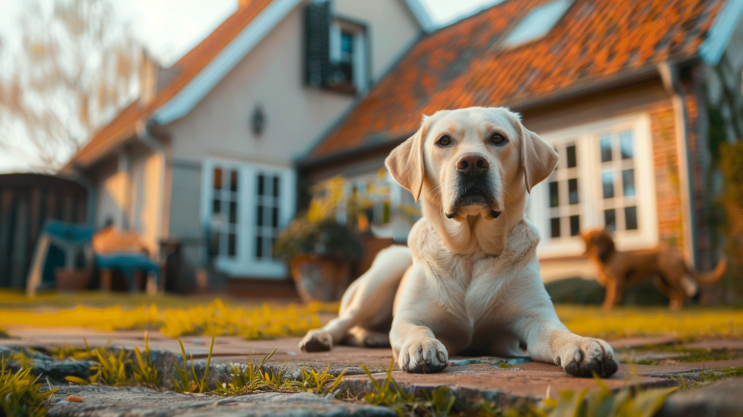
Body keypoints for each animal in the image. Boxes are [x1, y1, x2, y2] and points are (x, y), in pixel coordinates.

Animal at [580, 228, 728, 308]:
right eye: (592, 243)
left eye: (601, 242)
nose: (597, 253)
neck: (608, 257)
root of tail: (678, 254)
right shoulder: (618, 283)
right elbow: (618, 297)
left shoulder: (616, 281)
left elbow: (611, 296)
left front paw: (608, 307)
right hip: (662, 282)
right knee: (676, 294)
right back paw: (674, 306)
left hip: (671, 278)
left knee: (682, 293)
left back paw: (679, 307)